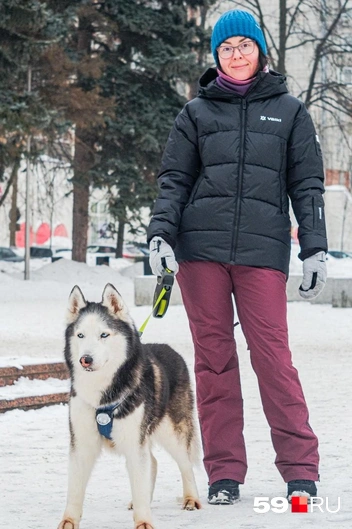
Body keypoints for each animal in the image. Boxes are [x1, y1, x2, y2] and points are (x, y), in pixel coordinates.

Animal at [57, 284, 201, 528]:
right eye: (80, 335)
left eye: (104, 334)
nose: (85, 359)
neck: (103, 395)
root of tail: (170, 349)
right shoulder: (81, 443)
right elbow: (74, 490)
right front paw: (68, 521)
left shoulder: (134, 441)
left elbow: (141, 480)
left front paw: (143, 522)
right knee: (152, 462)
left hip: (172, 432)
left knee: (185, 464)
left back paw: (191, 498)